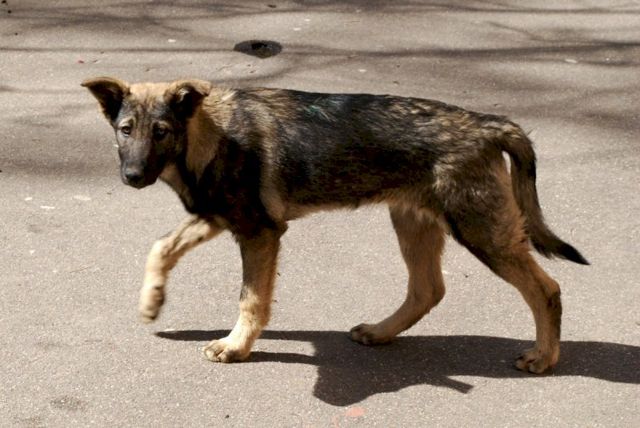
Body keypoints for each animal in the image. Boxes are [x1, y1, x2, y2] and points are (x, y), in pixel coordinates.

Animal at [82, 77, 588, 373]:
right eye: (126, 130)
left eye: (161, 132)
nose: (133, 177)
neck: (209, 132)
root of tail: (487, 124)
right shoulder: (220, 216)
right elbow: (162, 247)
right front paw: (152, 301)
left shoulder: (259, 232)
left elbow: (251, 299)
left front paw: (236, 346)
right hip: (414, 224)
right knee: (428, 289)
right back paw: (381, 332)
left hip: (482, 231)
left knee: (546, 289)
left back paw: (544, 356)